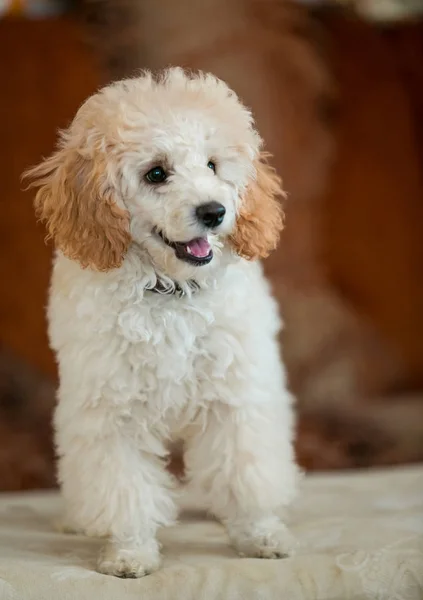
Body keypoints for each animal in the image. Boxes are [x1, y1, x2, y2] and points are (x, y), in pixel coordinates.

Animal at [25, 68, 298, 580]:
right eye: (156, 173)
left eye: (213, 165)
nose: (214, 211)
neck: (169, 291)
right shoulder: (109, 409)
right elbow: (123, 488)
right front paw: (130, 552)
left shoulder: (237, 396)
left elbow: (247, 470)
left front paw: (260, 535)